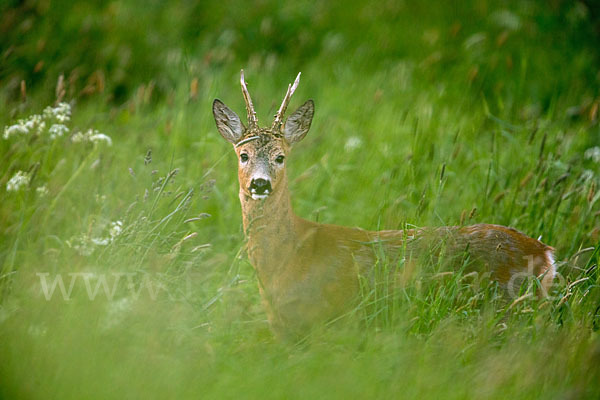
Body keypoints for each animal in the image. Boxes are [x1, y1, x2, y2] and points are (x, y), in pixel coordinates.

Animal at [212, 69, 556, 338]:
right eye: (244, 155)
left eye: (280, 157)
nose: (260, 183)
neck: (290, 255)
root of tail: (545, 253)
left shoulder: (324, 322)